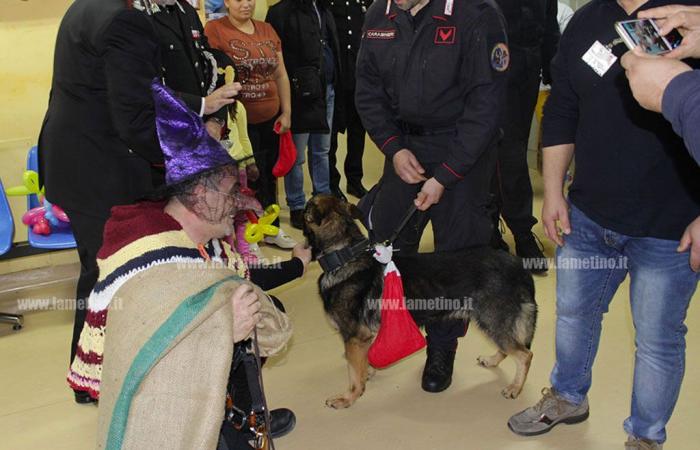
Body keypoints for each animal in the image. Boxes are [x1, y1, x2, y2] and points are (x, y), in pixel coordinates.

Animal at [304, 195, 540, 410]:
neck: (344, 257)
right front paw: (367, 372)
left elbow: (353, 374)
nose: (298, 211)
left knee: (525, 354)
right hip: (494, 323)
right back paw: (492, 361)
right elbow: (361, 364)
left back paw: (515, 388)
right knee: (511, 347)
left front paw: (348, 398)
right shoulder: (363, 338)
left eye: (306, 208)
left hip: (493, 320)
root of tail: (519, 267)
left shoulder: (354, 337)